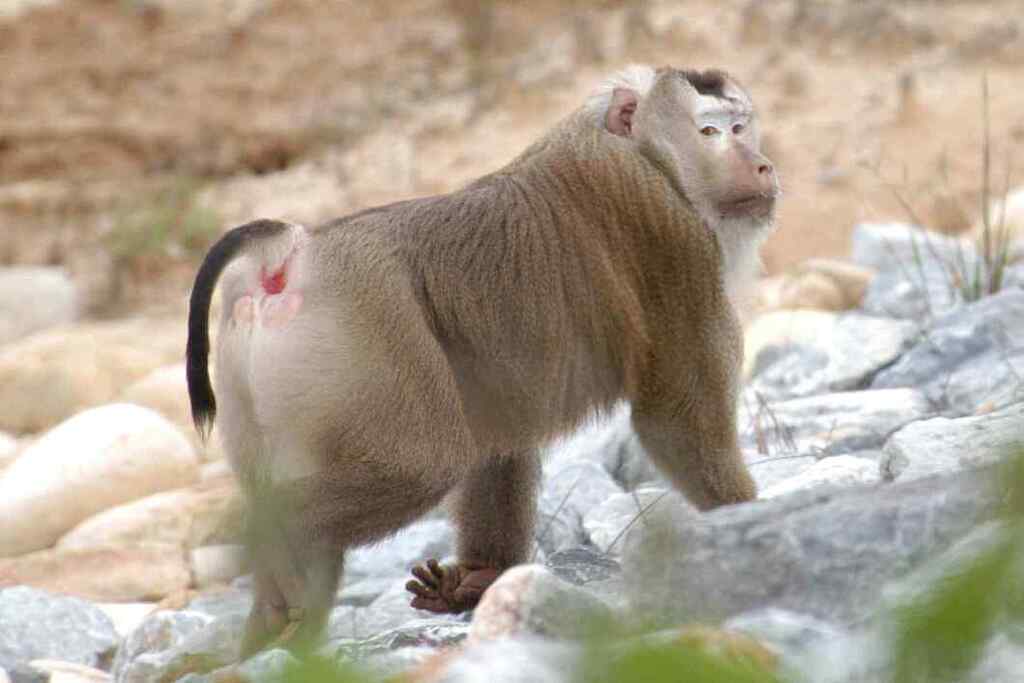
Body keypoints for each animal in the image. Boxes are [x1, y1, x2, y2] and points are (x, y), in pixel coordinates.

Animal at [186, 64, 778, 656]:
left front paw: (476, 580)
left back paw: (273, 620)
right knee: (420, 465)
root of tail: (291, 255)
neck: (643, 152)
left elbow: (499, 434)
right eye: (710, 132)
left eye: (741, 127)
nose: (761, 164)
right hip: (366, 333)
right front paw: (739, 526)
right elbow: (673, 419)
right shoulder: (672, 241)